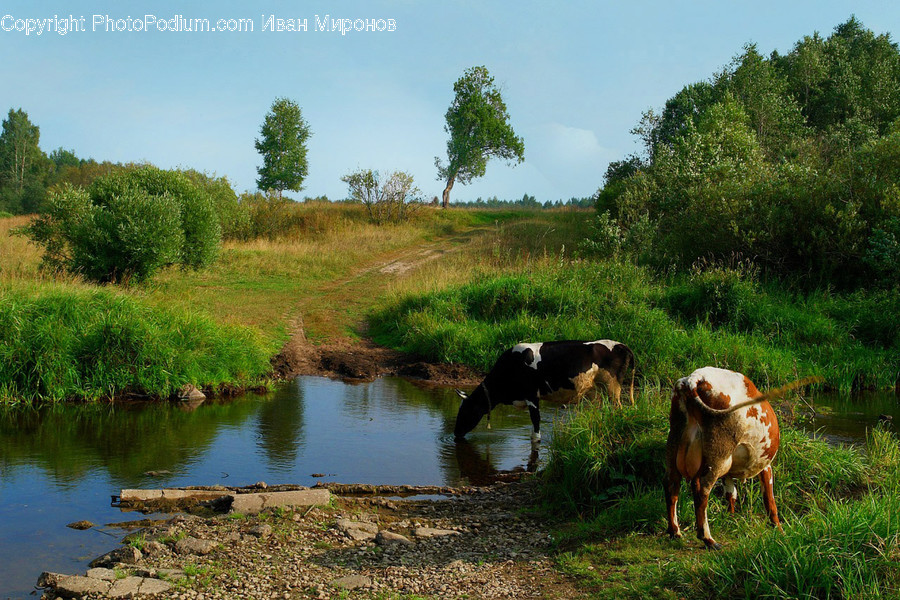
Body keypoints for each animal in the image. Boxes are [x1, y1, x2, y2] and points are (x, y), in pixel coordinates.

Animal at [453, 340, 635, 443]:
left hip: (612, 386)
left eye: (465, 411)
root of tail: (621, 344)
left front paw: (536, 439)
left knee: (618, 408)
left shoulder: (532, 395)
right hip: (597, 389)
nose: (455, 433)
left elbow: (536, 421)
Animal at [664, 366, 822, 549]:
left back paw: (675, 531)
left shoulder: (728, 472)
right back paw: (708, 539)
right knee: (702, 491)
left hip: (674, 444)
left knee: (672, 485)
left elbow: (731, 493)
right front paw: (778, 528)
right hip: (718, 455)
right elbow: (770, 500)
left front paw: (731, 517)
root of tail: (694, 378)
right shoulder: (765, 466)